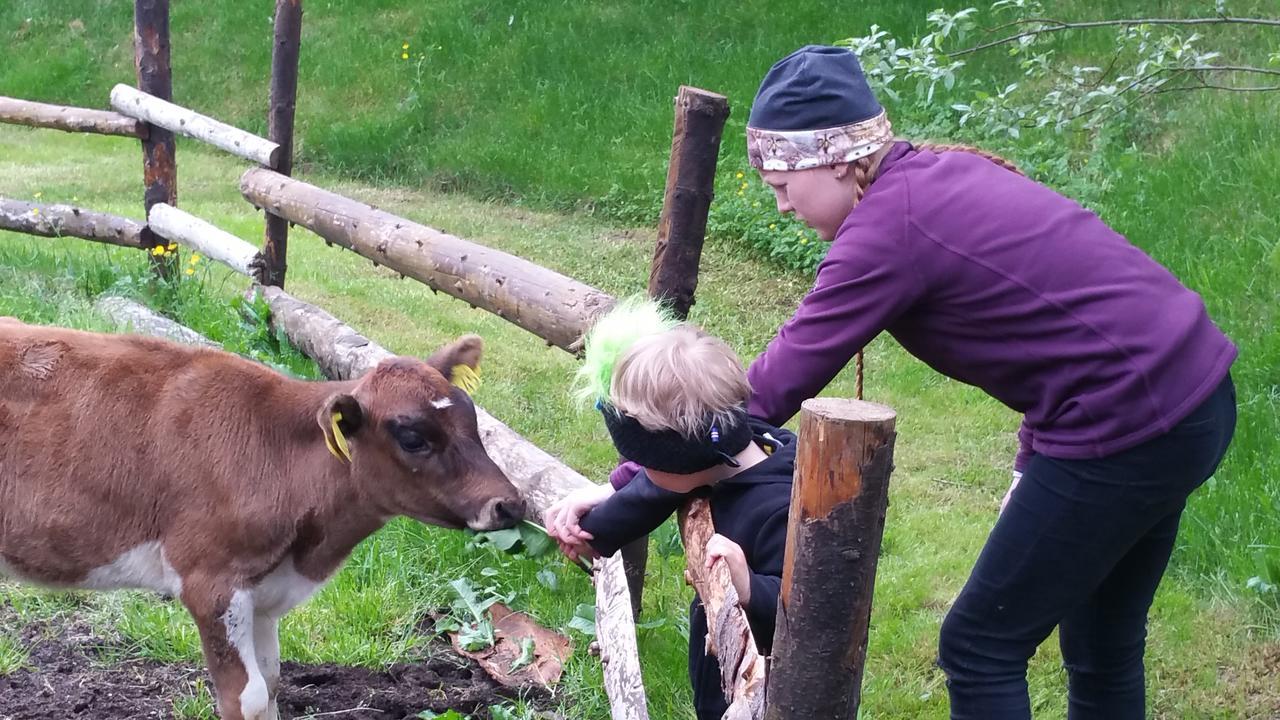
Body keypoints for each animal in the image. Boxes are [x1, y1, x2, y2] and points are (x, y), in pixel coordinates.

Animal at [0, 319, 524, 717]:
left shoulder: (263, 594)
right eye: (413, 437)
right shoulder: (209, 581)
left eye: (473, 419)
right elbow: (246, 696)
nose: (510, 504)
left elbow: (271, 682)